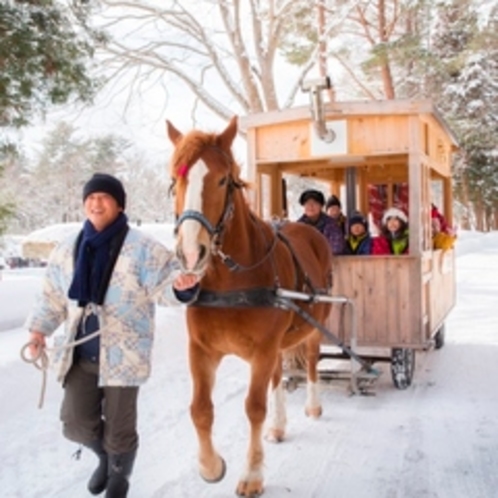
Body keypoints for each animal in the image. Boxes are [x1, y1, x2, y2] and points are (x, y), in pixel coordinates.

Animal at [165, 115, 332, 494]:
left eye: (222, 179)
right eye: (175, 179)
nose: (191, 254)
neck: (232, 282)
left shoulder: (262, 350)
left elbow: (254, 407)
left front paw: (252, 475)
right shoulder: (202, 350)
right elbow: (200, 409)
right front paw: (211, 466)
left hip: (313, 325)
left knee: (312, 362)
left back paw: (313, 405)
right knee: (278, 375)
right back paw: (279, 425)